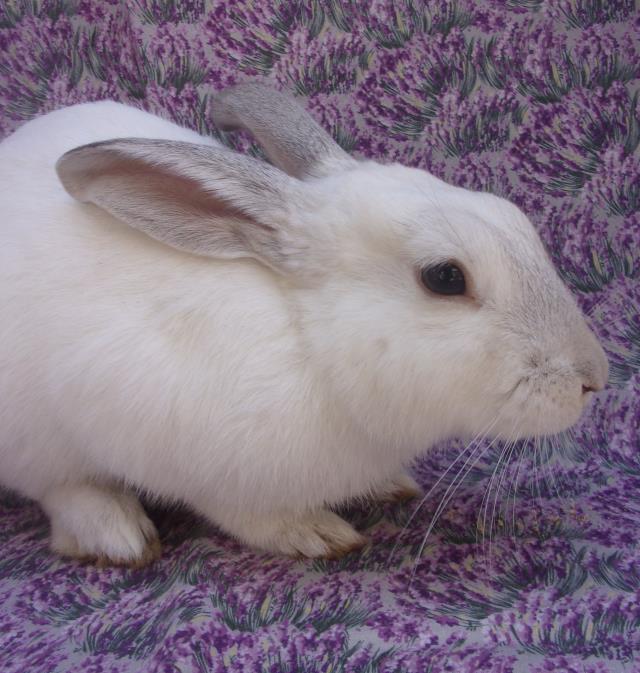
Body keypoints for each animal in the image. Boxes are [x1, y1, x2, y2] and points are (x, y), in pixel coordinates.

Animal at [0, 81, 608, 564]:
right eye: (444, 278)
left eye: (515, 217)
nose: (594, 379)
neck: (312, 343)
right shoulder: (199, 462)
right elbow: (246, 515)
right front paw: (315, 534)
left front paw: (388, 486)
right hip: (37, 438)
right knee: (64, 488)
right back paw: (117, 535)